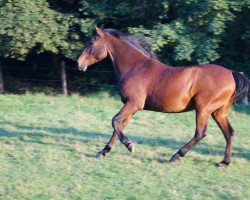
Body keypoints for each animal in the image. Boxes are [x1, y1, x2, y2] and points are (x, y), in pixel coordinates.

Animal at [77, 26, 249, 167]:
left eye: (91, 43)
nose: (79, 63)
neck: (135, 67)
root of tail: (231, 74)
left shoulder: (133, 104)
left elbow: (115, 121)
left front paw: (129, 145)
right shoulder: (131, 107)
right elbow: (119, 126)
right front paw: (103, 152)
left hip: (204, 109)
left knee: (200, 133)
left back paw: (176, 156)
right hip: (219, 112)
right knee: (229, 133)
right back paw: (224, 162)